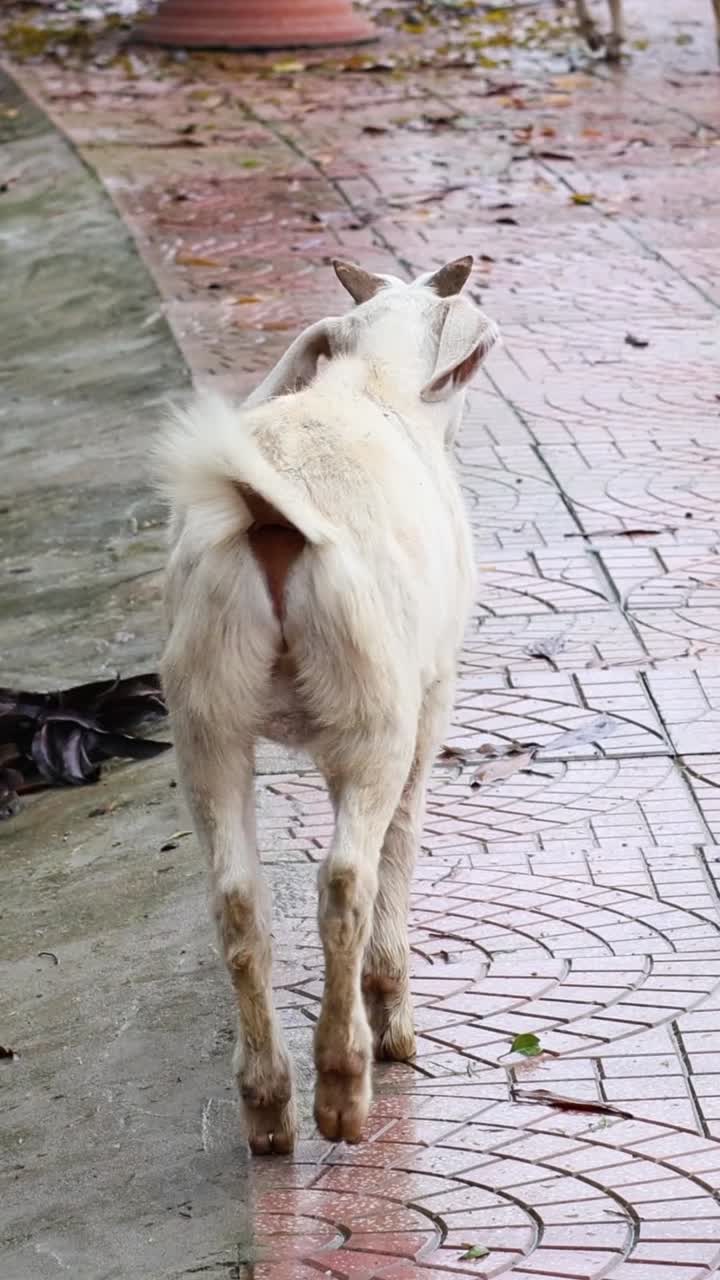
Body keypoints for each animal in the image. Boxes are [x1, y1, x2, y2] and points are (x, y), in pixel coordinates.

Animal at [156, 257, 500, 1154]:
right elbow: (403, 848)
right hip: (372, 706)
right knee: (347, 879)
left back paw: (268, 1107)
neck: (372, 383)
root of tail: (270, 513)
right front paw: (398, 1028)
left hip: (203, 712)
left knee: (236, 898)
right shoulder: (429, 701)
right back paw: (344, 1088)